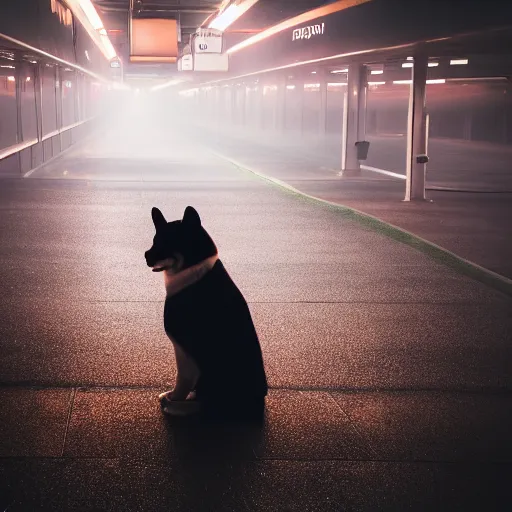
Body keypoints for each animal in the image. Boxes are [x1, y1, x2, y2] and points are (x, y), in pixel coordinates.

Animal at [144, 206, 268, 418]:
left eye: (166, 243)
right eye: (154, 241)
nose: (145, 255)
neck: (193, 267)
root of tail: (257, 404)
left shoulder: (183, 348)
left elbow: (182, 380)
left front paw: (174, 398)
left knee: (206, 404)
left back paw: (176, 406)